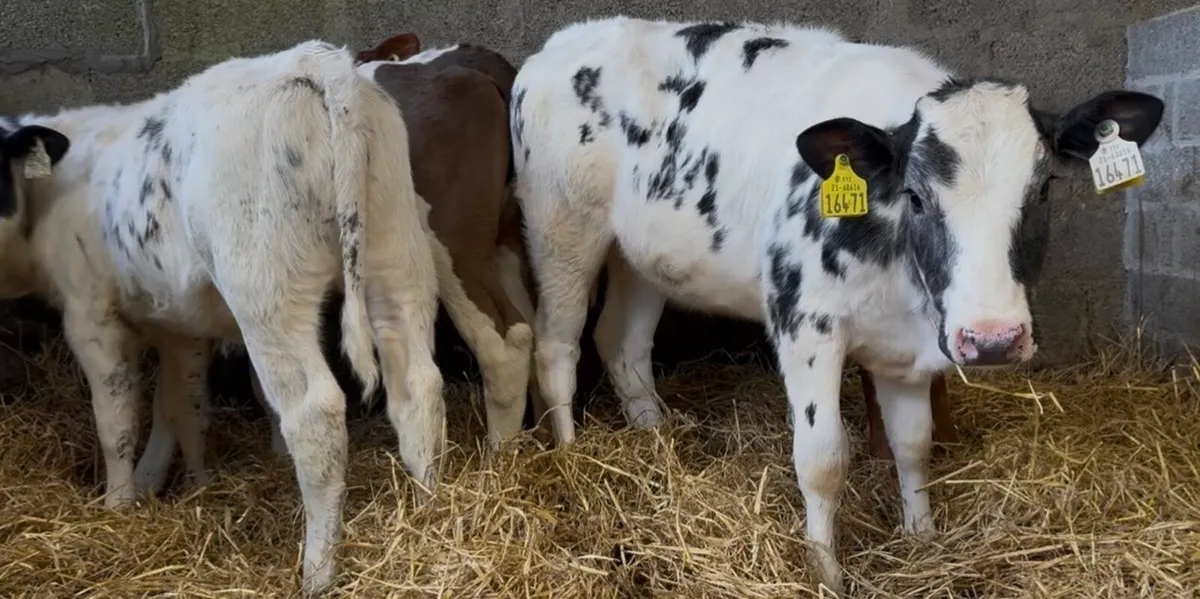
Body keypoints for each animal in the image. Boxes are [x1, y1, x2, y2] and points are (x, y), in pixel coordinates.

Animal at [0, 40, 529, 595]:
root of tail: (314, 63)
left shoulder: (90, 315)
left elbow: (118, 418)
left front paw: (120, 504)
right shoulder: (180, 322)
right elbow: (180, 403)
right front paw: (184, 482)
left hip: (275, 291)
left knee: (321, 412)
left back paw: (318, 572)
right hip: (396, 255)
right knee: (420, 385)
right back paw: (429, 512)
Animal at [510, 16, 1163, 594]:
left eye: (1044, 187)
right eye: (916, 195)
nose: (993, 339)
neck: (901, 281)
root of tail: (561, 43)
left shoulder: (908, 351)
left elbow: (913, 443)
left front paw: (921, 535)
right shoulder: (805, 322)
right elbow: (822, 458)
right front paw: (825, 571)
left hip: (641, 253)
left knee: (621, 340)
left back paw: (655, 438)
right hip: (561, 225)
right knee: (557, 346)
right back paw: (572, 458)